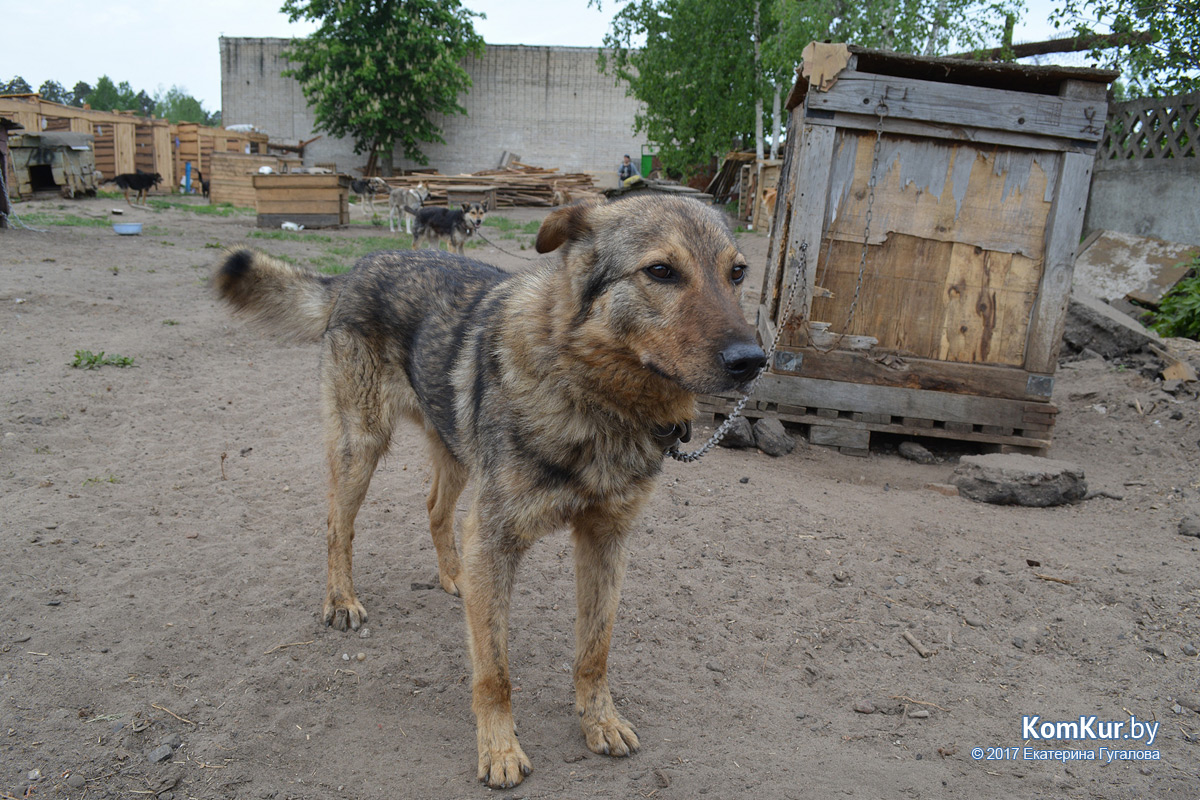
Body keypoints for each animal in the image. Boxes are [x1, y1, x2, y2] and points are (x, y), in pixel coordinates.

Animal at [211, 195, 763, 786]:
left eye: (737, 273)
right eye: (661, 271)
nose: (753, 361)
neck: (593, 397)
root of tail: (359, 266)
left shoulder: (605, 540)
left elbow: (595, 650)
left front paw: (600, 721)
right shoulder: (497, 538)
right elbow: (494, 671)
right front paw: (499, 749)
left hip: (455, 455)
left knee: (435, 510)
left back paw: (454, 575)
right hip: (361, 448)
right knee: (339, 524)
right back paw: (342, 600)